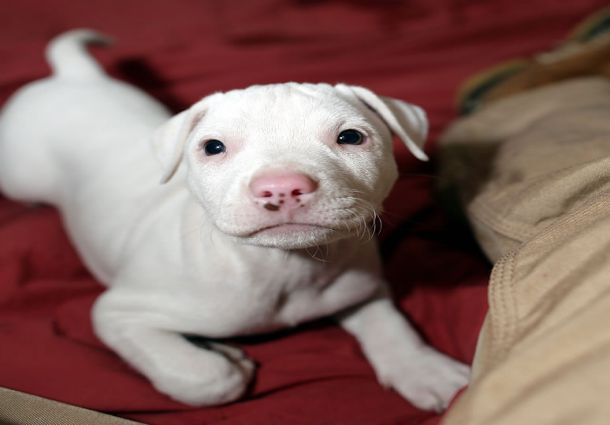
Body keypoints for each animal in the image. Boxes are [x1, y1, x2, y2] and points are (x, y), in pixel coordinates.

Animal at [0, 29, 466, 410]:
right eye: (213, 147)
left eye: (351, 137)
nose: (282, 187)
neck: (283, 267)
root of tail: (75, 76)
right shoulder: (119, 312)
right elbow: (204, 379)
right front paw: (224, 359)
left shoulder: (360, 286)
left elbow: (388, 323)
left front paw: (424, 370)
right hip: (20, 176)